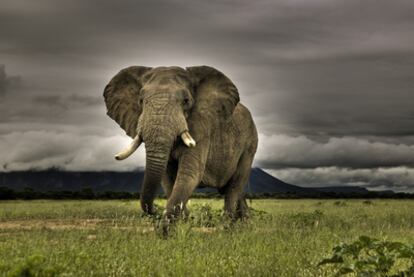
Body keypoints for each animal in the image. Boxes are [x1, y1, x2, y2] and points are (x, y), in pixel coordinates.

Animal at [103, 65, 258, 224]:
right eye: (140, 100)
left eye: (186, 101)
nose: (155, 211)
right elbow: (168, 178)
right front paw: (182, 221)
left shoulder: (201, 127)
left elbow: (190, 173)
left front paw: (169, 225)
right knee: (233, 189)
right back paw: (244, 223)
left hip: (250, 144)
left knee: (235, 185)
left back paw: (228, 225)